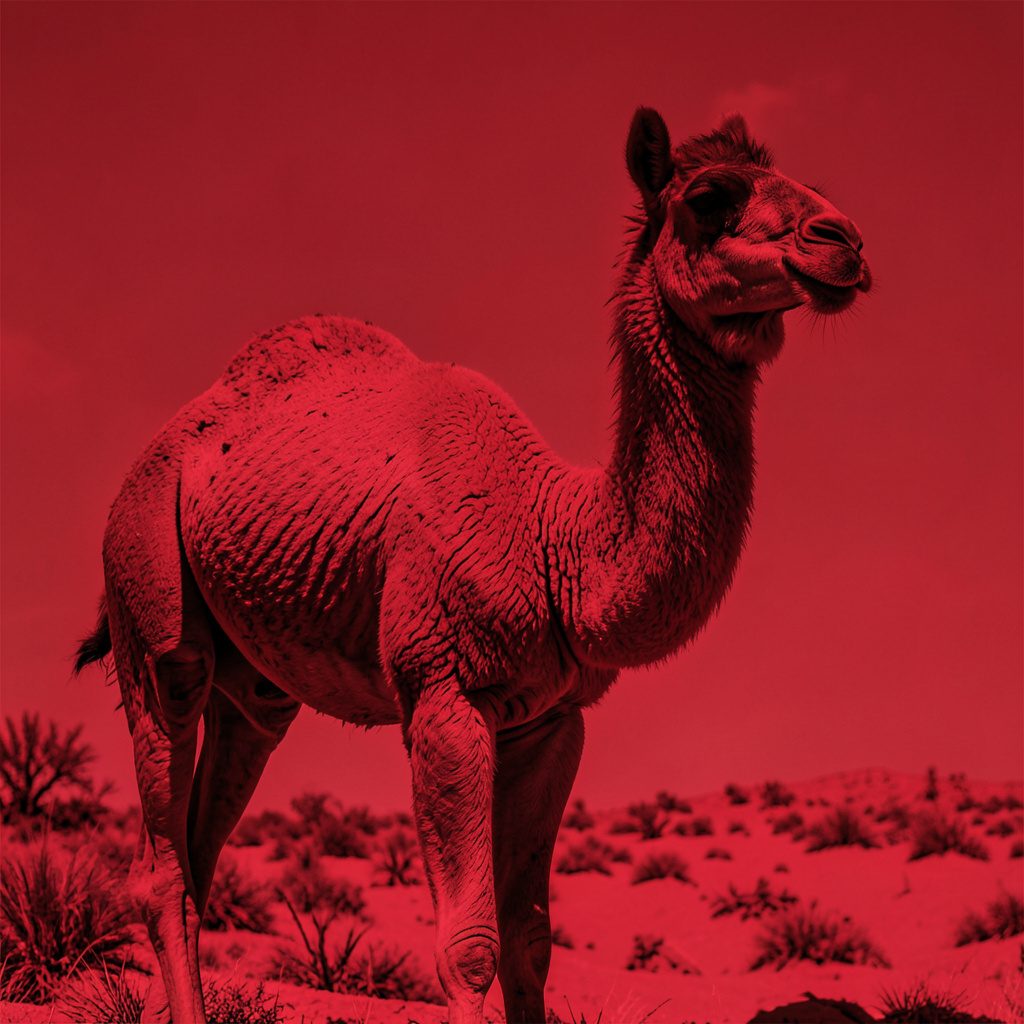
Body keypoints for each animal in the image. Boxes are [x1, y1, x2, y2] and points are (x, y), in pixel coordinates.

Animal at [74, 109, 871, 1023]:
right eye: (709, 197)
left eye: (806, 185)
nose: (842, 241)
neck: (556, 541)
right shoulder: (443, 691)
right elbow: (469, 944)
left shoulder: (552, 721)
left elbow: (531, 937)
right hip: (148, 590)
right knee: (162, 852)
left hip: (259, 688)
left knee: (211, 829)